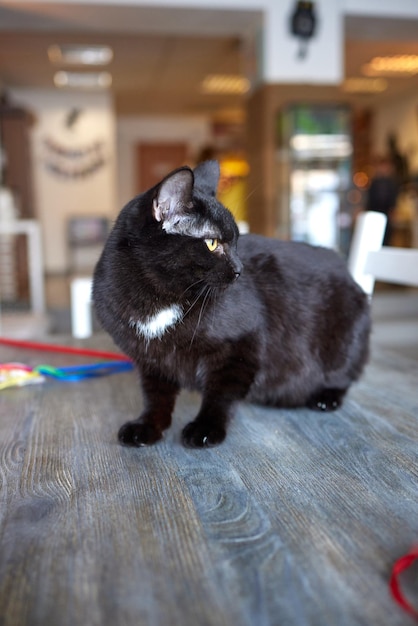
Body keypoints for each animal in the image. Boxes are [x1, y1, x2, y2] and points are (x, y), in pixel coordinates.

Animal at [93, 158, 370, 446]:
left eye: (237, 241)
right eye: (212, 243)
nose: (240, 269)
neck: (162, 298)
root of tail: (345, 268)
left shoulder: (241, 346)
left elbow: (221, 394)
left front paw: (206, 428)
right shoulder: (150, 359)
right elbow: (155, 397)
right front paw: (147, 426)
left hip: (345, 340)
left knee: (343, 376)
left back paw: (325, 397)